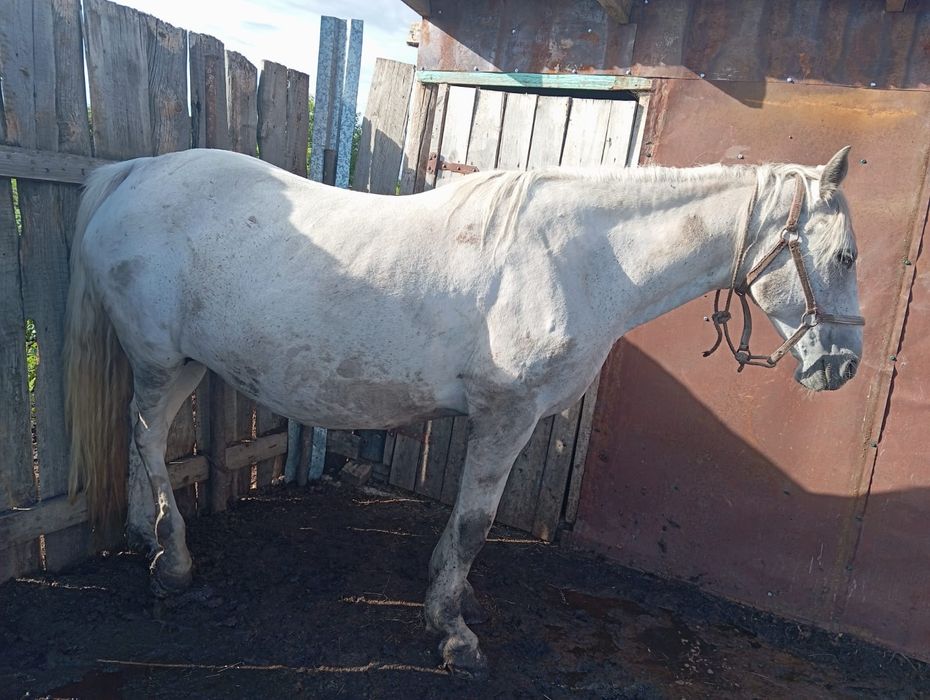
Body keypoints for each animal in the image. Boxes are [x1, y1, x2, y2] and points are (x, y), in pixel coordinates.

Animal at [64, 145, 862, 677]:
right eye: (847, 257)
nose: (843, 366)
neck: (580, 259)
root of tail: (133, 172)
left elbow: (466, 523)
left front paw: (455, 599)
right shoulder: (506, 414)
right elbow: (477, 522)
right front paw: (454, 634)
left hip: (182, 364)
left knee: (139, 439)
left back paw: (146, 539)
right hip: (161, 360)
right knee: (148, 441)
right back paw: (173, 565)